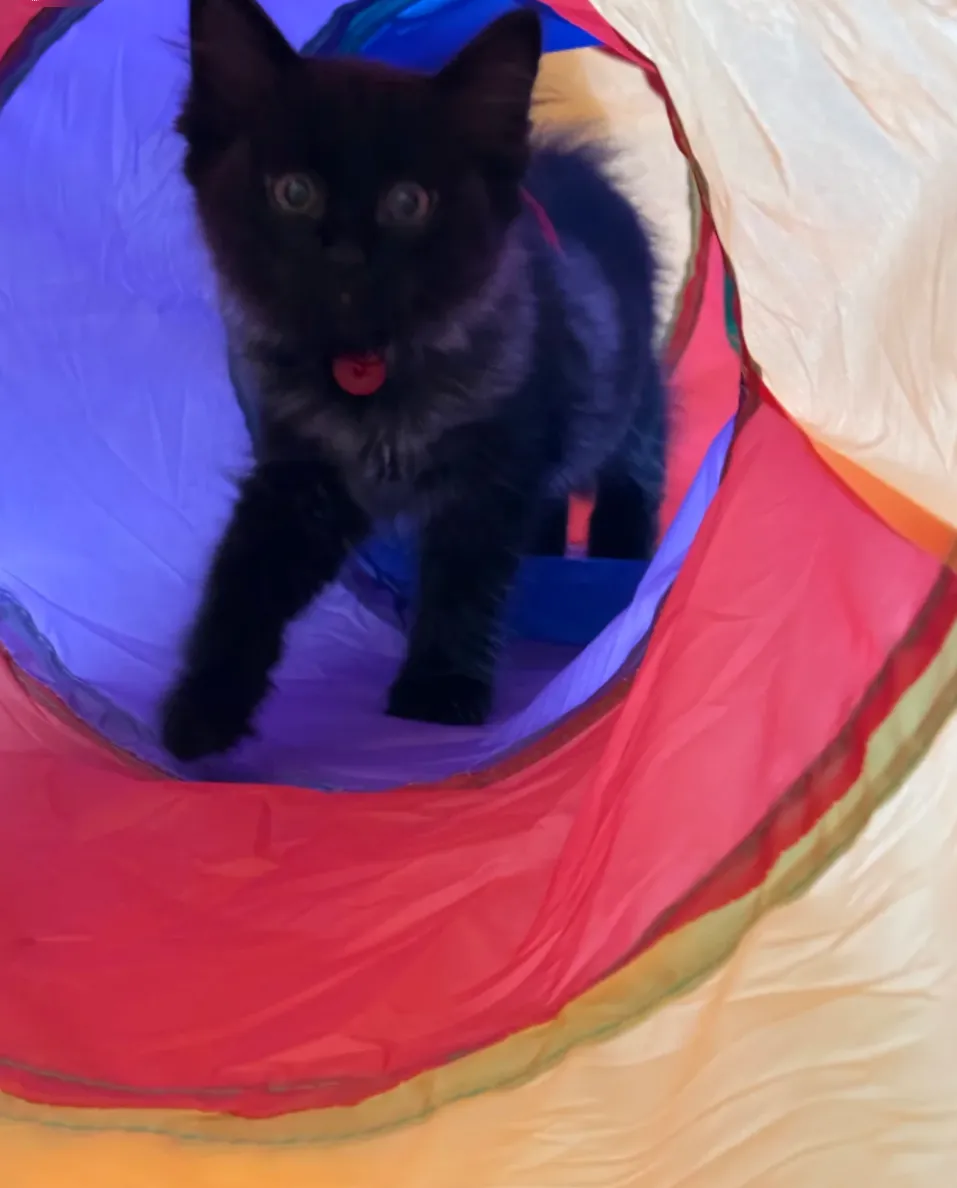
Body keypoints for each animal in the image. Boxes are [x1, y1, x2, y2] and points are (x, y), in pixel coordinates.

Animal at [161, 0, 668, 761]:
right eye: (294, 193)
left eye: (408, 203)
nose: (345, 253)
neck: (370, 372)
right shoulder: (300, 478)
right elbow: (242, 581)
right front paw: (202, 710)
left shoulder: (489, 476)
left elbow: (462, 584)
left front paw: (439, 691)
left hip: (631, 403)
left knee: (631, 476)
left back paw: (620, 560)